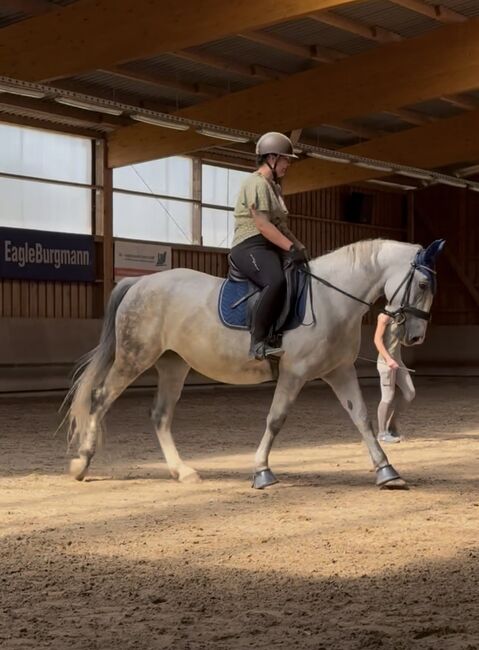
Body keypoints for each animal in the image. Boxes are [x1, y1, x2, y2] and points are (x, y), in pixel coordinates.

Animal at [66, 238, 443, 490]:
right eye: (424, 283)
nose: (415, 337)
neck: (332, 298)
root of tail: (139, 282)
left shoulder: (339, 371)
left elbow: (362, 418)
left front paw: (388, 472)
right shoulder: (295, 372)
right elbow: (275, 419)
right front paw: (262, 471)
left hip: (174, 364)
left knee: (159, 415)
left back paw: (183, 471)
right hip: (135, 358)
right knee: (100, 399)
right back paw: (81, 463)